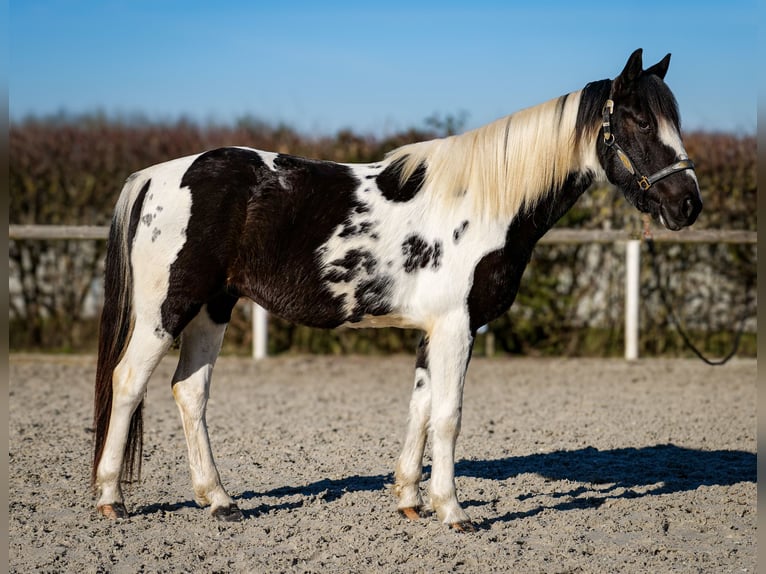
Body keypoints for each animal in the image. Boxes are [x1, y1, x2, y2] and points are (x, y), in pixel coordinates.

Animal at [91, 49, 704, 532]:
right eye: (639, 121)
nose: (687, 205)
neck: (483, 200)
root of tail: (156, 175)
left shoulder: (434, 329)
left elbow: (421, 406)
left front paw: (411, 500)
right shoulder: (456, 326)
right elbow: (449, 414)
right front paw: (453, 511)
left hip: (212, 309)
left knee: (189, 391)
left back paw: (219, 501)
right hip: (167, 309)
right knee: (128, 381)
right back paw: (111, 498)